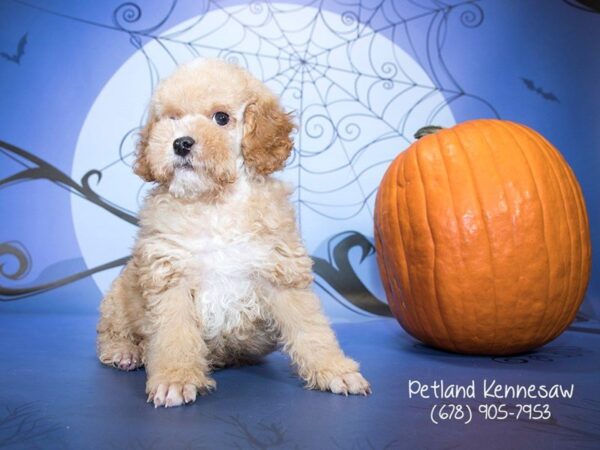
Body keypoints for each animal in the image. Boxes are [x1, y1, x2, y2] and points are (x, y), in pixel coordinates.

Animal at [97, 58, 370, 406]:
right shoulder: (169, 275)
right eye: (172, 118)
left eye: (221, 118)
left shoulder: (280, 271)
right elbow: (174, 335)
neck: (215, 203)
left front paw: (334, 370)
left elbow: (310, 327)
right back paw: (126, 351)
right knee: (110, 331)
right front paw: (175, 378)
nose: (181, 142)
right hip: (120, 295)